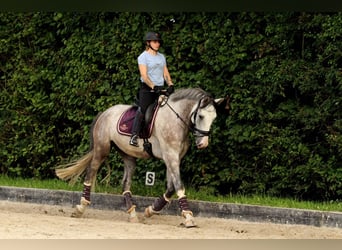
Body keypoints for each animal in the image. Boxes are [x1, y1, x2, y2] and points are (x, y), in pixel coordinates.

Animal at [54, 87, 228, 228]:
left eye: (213, 118)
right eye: (201, 116)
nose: (203, 143)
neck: (176, 120)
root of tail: (105, 112)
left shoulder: (172, 158)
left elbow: (171, 188)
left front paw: (150, 211)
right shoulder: (170, 156)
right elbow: (179, 185)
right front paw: (188, 218)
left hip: (128, 155)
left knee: (125, 183)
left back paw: (132, 214)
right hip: (101, 149)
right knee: (91, 172)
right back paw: (81, 207)